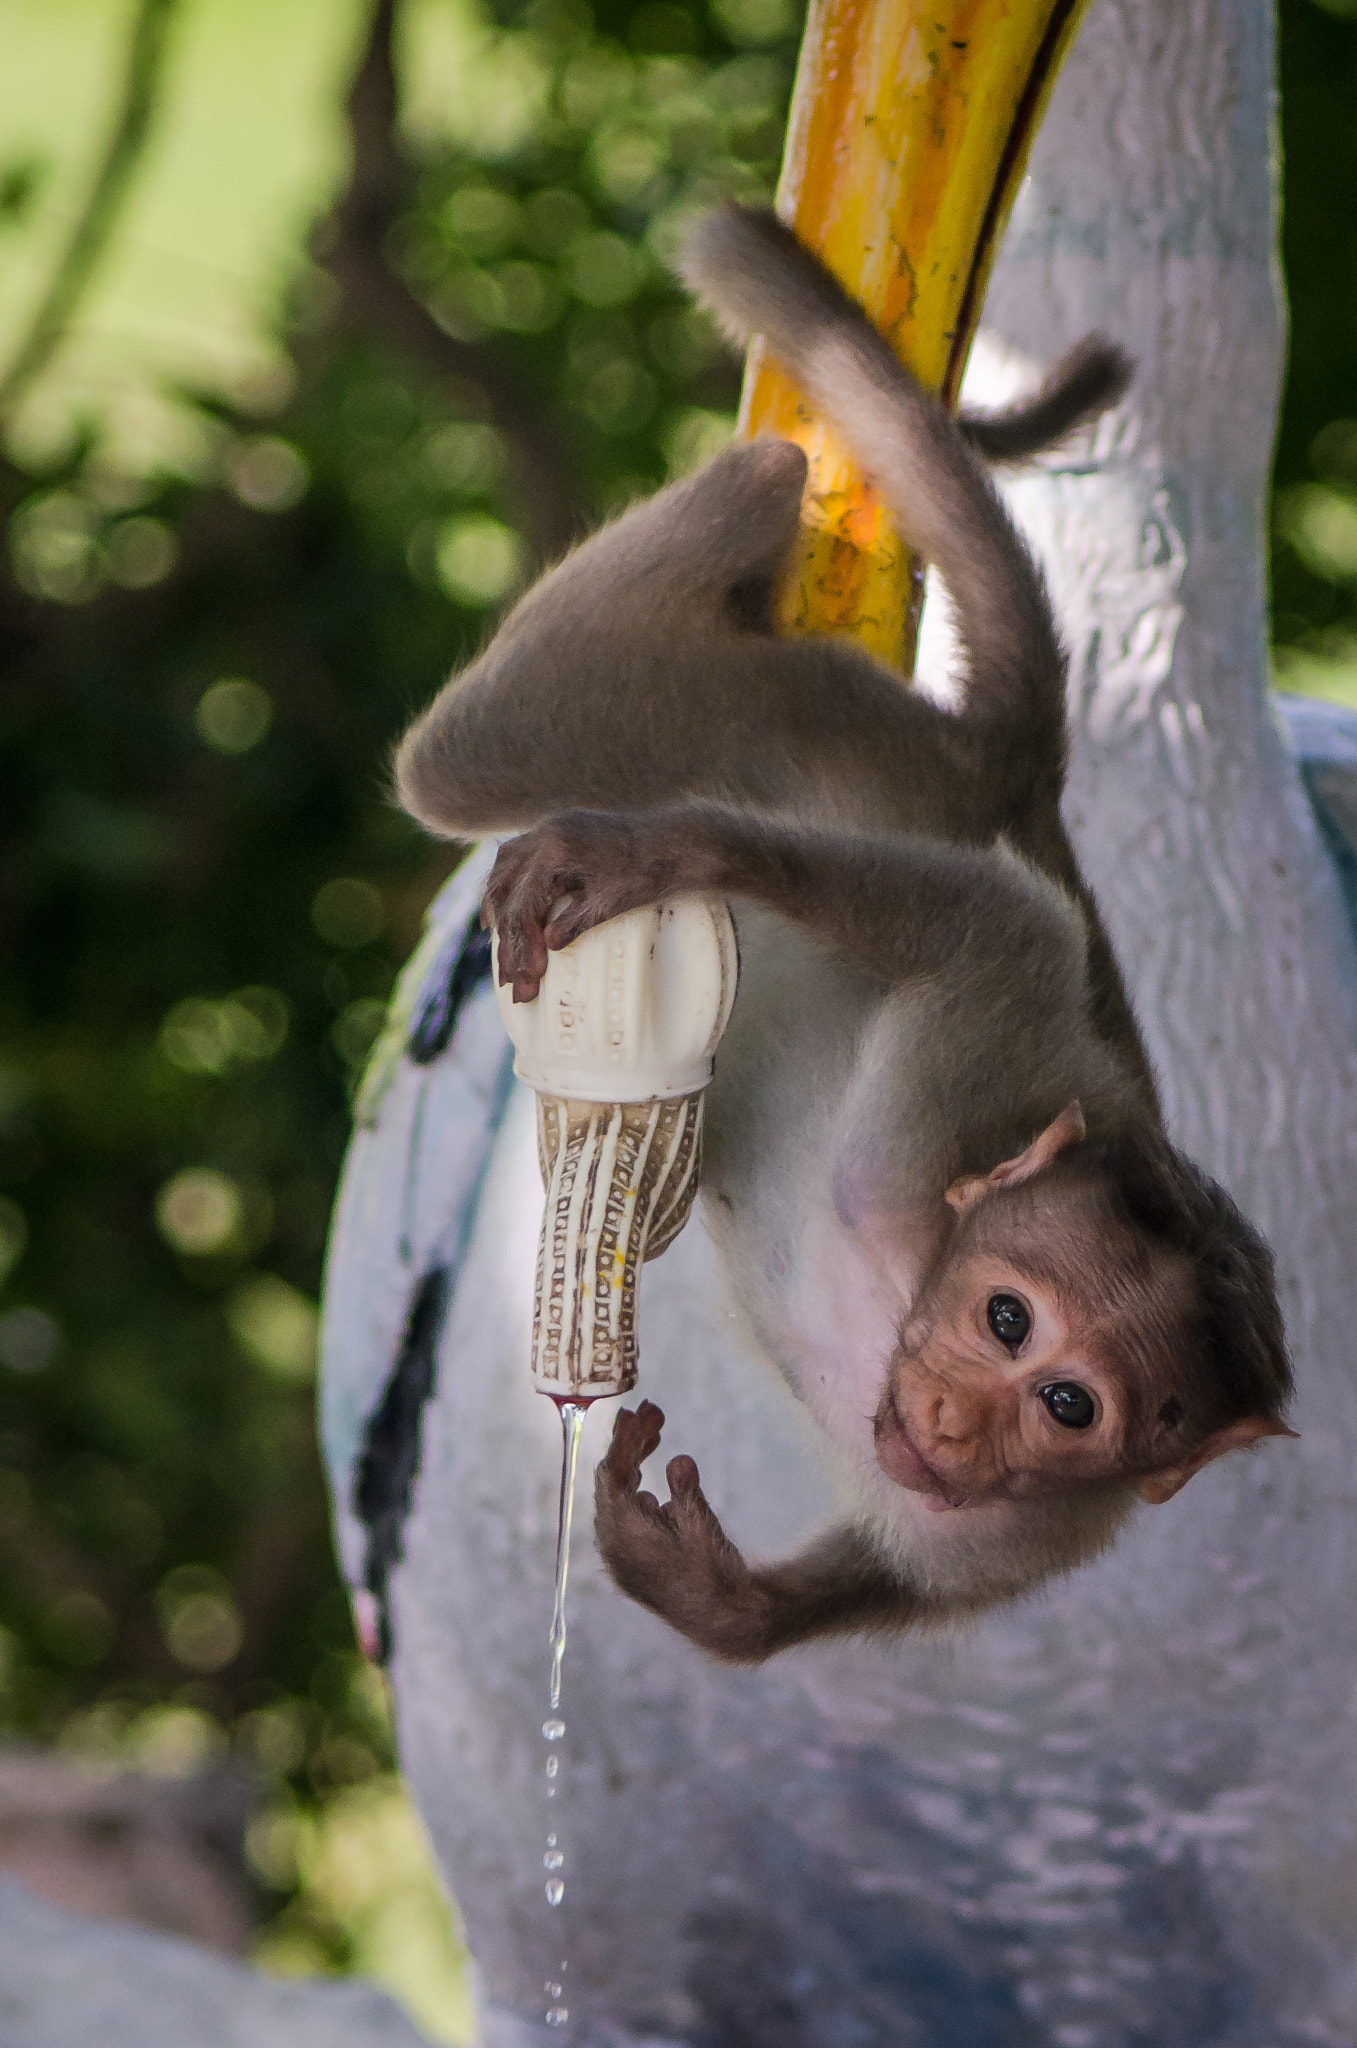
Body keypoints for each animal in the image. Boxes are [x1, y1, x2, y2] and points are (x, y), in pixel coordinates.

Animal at [395, 199, 1293, 1662]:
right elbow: (987, 926)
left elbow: (862, 1582)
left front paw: (703, 1585)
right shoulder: (939, 1110)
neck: (915, 1285)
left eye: (1070, 1407)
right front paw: (665, 854)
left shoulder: (1029, 1536)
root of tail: (1010, 779)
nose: (952, 1425)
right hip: (775, 712)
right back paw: (761, 475)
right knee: (468, 759)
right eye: (1005, 1320)